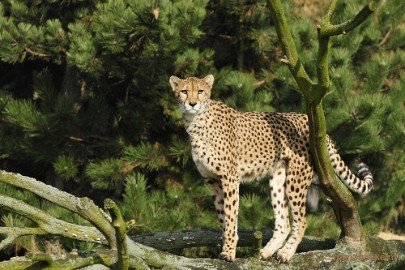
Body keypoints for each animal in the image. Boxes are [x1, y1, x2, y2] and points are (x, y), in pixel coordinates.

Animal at [168, 74, 372, 262]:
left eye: (200, 91)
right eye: (184, 91)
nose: (192, 103)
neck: (195, 121)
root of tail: (310, 121)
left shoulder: (229, 178)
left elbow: (231, 216)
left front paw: (229, 251)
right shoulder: (213, 181)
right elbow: (223, 218)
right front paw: (226, 245)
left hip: (296, 180)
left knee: (301, 221)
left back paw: (286, 253)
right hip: (277, 180)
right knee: (284, 223)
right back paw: (266, 251)